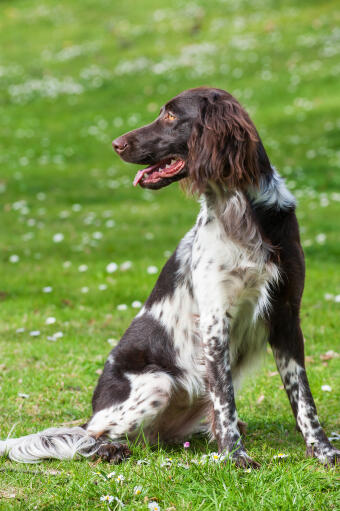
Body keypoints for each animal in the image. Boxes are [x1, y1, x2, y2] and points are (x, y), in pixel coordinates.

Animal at [1, 88, 338, 468]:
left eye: (172, 116)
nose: (116, 144)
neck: (239, 209)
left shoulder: (286, 313)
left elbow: (302, 396)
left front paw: (322, 450)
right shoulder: (214, 319)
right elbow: (224, 399)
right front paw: (235, 458)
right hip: (156, 383)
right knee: (92, 434)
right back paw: (109, 450)